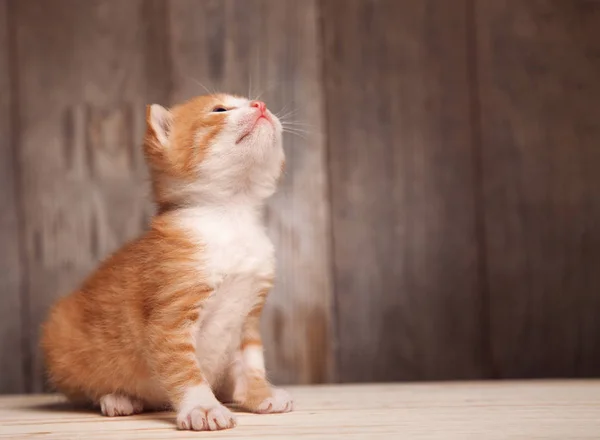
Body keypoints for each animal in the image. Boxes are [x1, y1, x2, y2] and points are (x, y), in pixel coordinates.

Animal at [39, 93, 292, 430]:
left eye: (254, 103)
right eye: (219, 110)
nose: (260, 106)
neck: (231, 217)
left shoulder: (248, 315)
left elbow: (251, 363)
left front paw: (260, 393)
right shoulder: (170, 316)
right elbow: (182, 367)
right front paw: (202, 407)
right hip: (60, 336)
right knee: (87, 388)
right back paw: (117, 397)